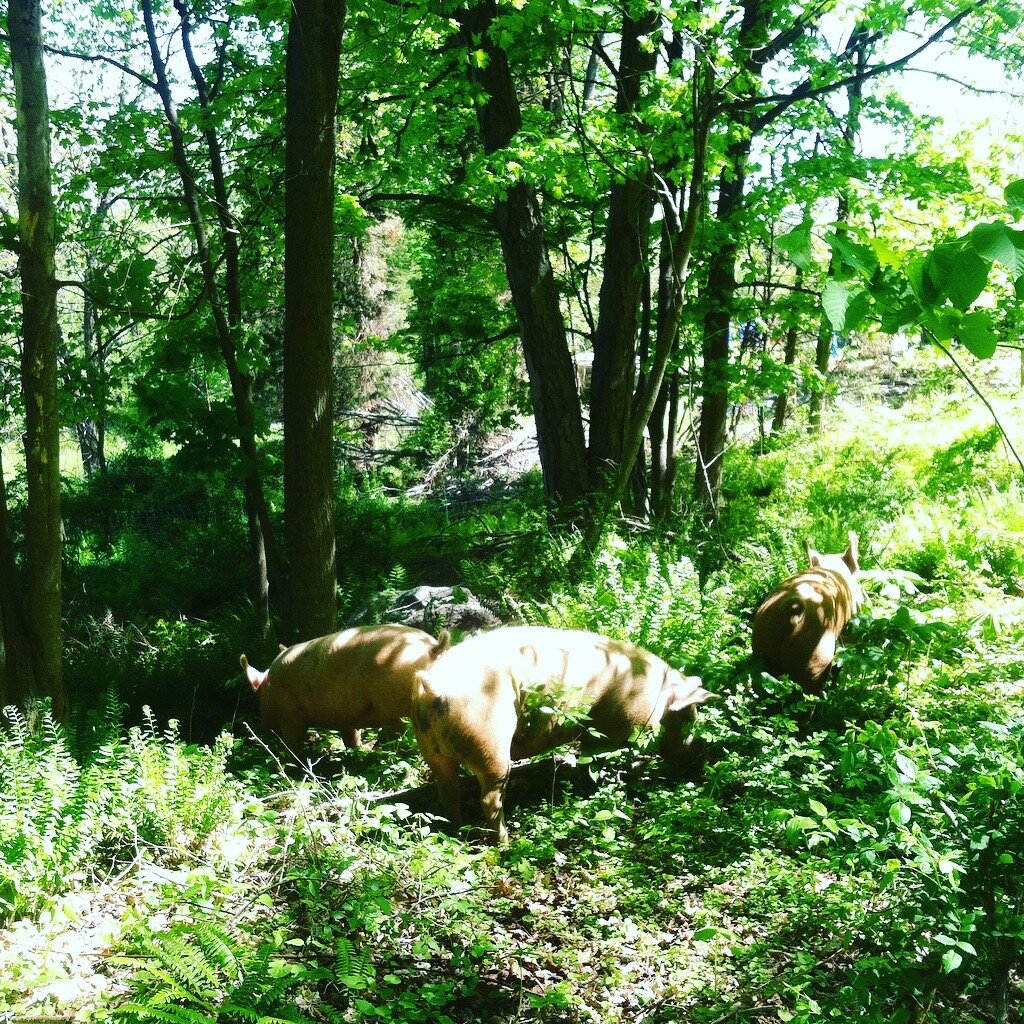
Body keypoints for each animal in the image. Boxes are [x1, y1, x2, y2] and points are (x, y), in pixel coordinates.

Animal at [240, 623, 450, 760]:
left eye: (259, 696)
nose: (262, 727)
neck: (271, 685)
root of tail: (432, 648)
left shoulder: (290, 714)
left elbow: (293, 743)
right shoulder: (346, 717)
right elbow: (351, 736)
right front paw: (356, 751)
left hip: (388, 704)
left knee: (401, 729)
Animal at [411, 625, 717, 844]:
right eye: (688, 717)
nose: (702, 755)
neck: (656, 694)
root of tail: (434, 689)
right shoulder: (617, 727)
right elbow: (604, 760)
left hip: (431, 751)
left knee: (448, 790)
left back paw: (456, 830)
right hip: (490, 744)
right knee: (489, 798)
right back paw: (506, 842)